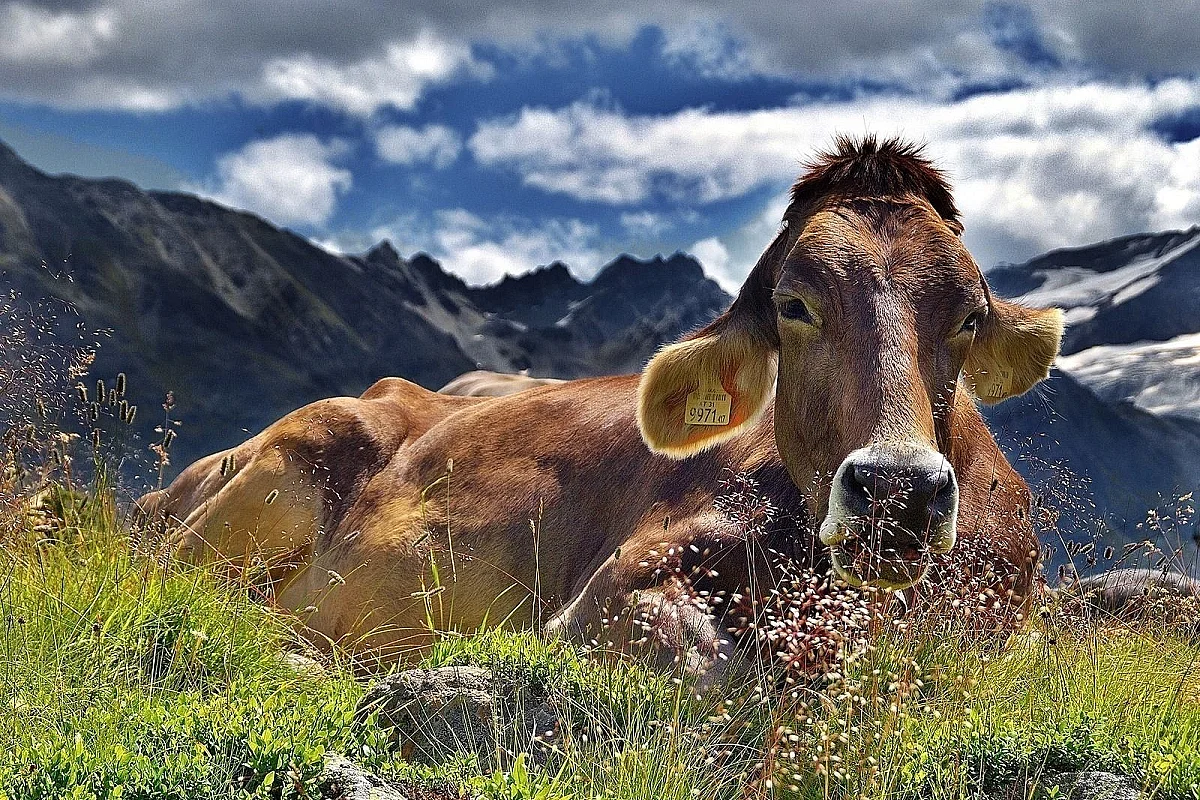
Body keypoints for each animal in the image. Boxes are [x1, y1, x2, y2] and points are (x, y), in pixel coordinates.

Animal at [137, 137, 1063, 676]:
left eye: (969, 314)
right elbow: (705, 662)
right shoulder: (610, 590)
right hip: (282, 468)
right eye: (795, 304)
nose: (899, 490)